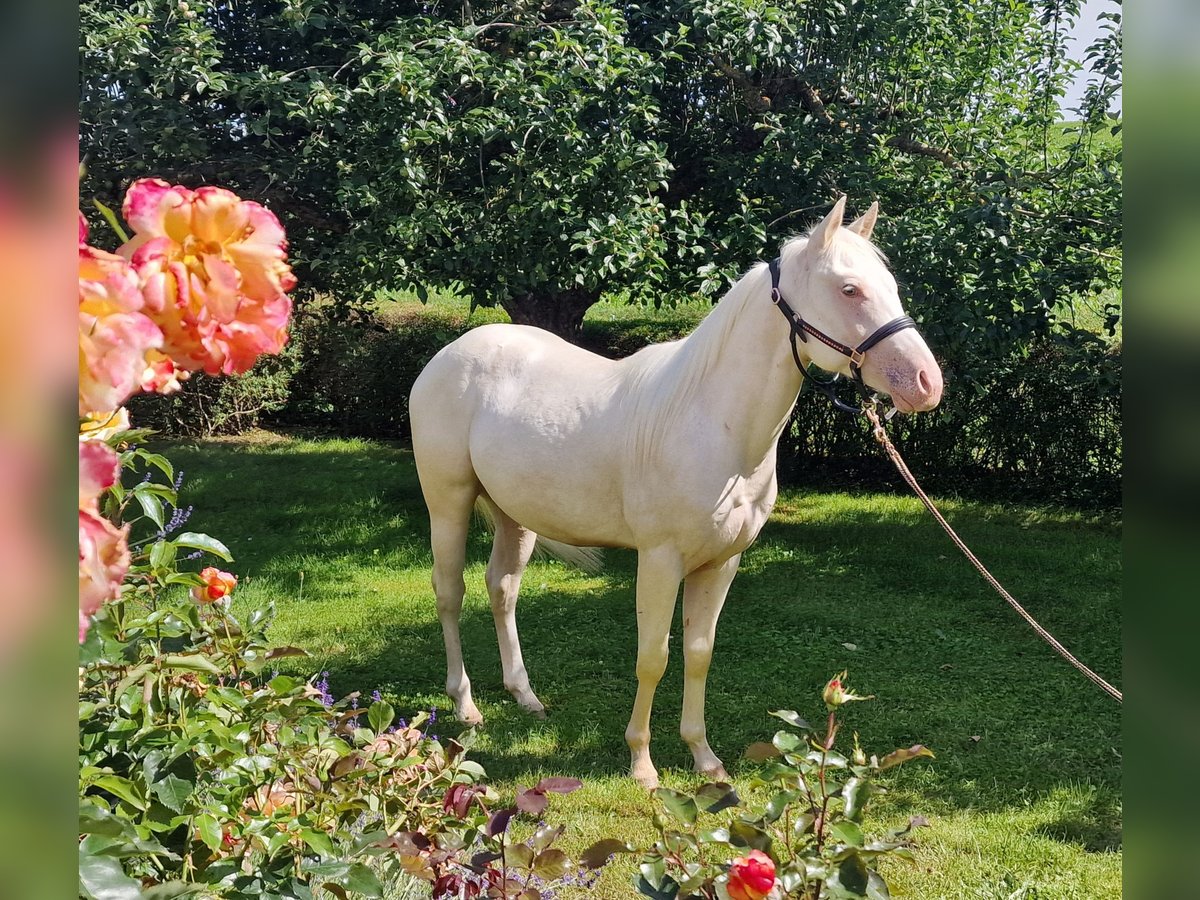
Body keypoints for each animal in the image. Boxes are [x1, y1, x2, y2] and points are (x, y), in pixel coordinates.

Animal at [412, 199, 945, 787]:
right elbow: (653, 658)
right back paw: (465, 705)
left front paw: (704, 758)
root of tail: (448, 354)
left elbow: (698, 653)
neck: (712, 422)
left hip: (516, 515)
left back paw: (525, 696)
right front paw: (643, 764)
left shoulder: (721, 563)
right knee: (450, 592)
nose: (926, 382)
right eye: (850, 289)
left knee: (502, 589)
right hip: (449, 503)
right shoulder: (660, 560)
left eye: (889, 285)